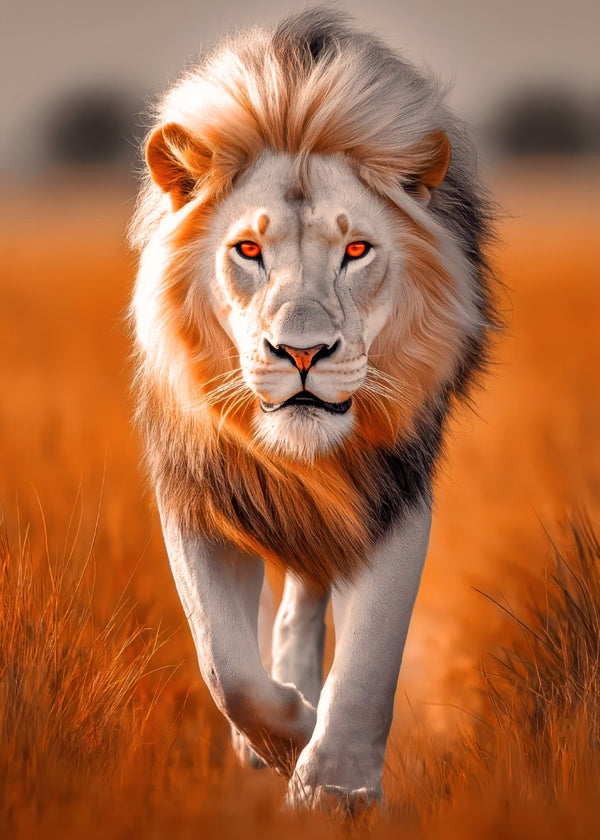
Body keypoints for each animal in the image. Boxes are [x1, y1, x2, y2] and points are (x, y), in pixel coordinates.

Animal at [129, 9, 495, 812]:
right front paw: (286, 731)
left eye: (356, 250)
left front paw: (336, 785)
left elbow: (370, 659)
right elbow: (225, 665)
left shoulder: (394, 492)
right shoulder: (198, 491)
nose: (302, 353)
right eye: (247, 250)